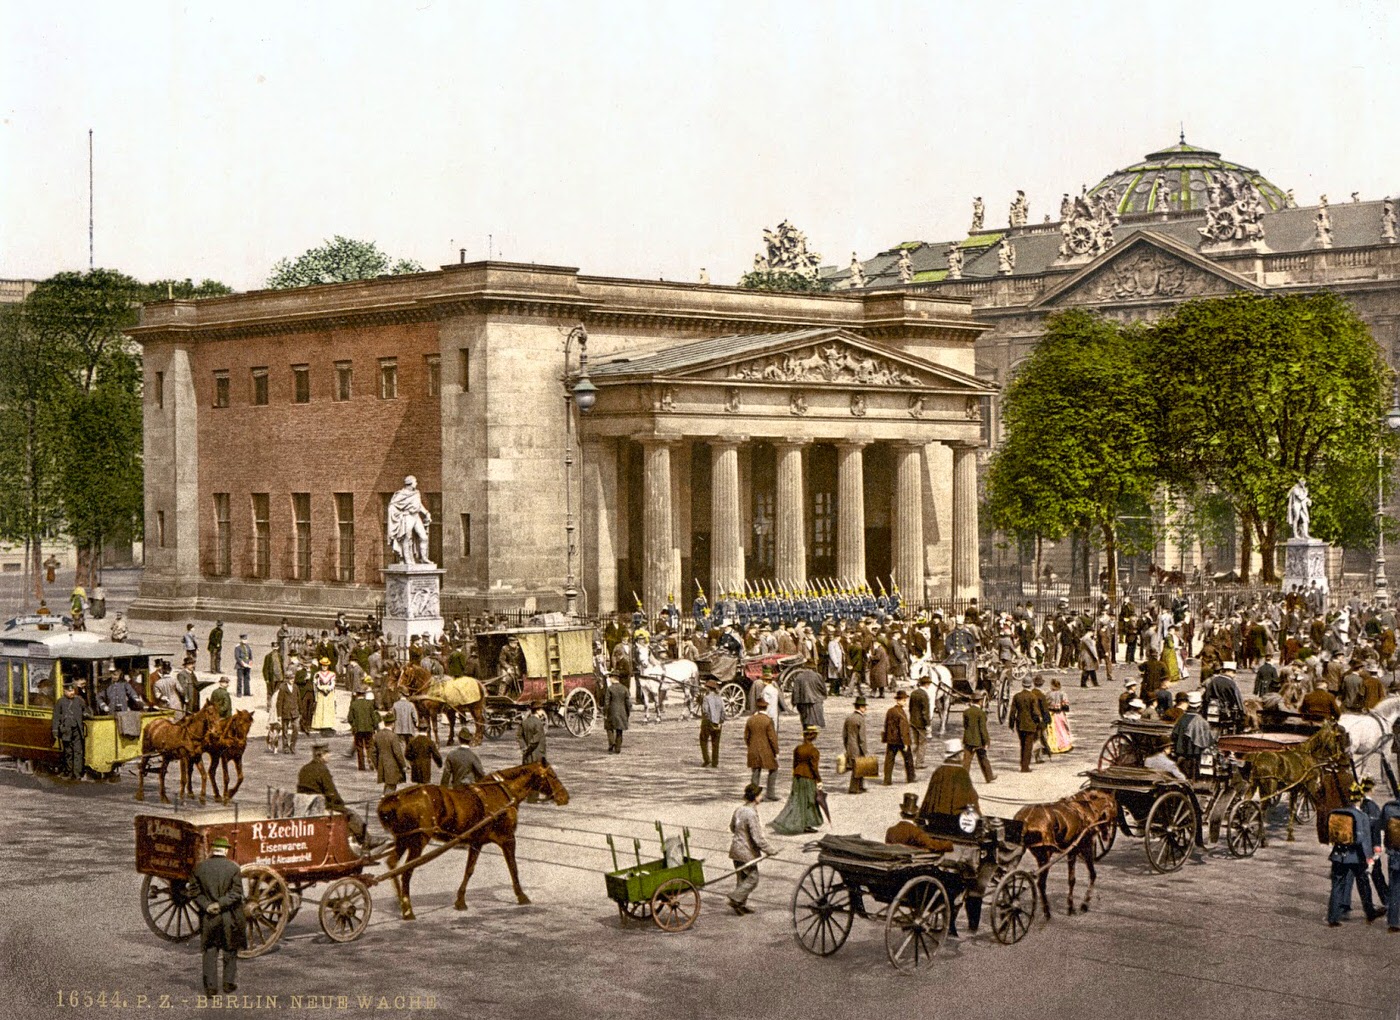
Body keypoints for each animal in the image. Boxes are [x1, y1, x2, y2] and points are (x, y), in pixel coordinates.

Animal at [378, 761, 568, 917]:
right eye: (552, 775)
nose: (565, 797)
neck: (502, 792)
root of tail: (395, 799)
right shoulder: (508, 839)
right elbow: (513, 868)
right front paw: (521, 895)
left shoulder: (477, 842)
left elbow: (469, 870)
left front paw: (460, 900)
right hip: (418, 841)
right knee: (406, 872)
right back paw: (408, 910)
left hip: (403, 840)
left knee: (392, 863)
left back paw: (400, 901)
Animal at [1013, 783, 1108, 917]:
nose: (1106, 835)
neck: (1084, 809)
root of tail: (1026, 819)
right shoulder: (1083, 847)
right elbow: (1088, 875)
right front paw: (1081, 905)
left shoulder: (1072, 851)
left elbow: (1072, 879)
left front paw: (1072, 906)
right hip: (1044, 856)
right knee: (1041, 883)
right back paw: (1047, 912)